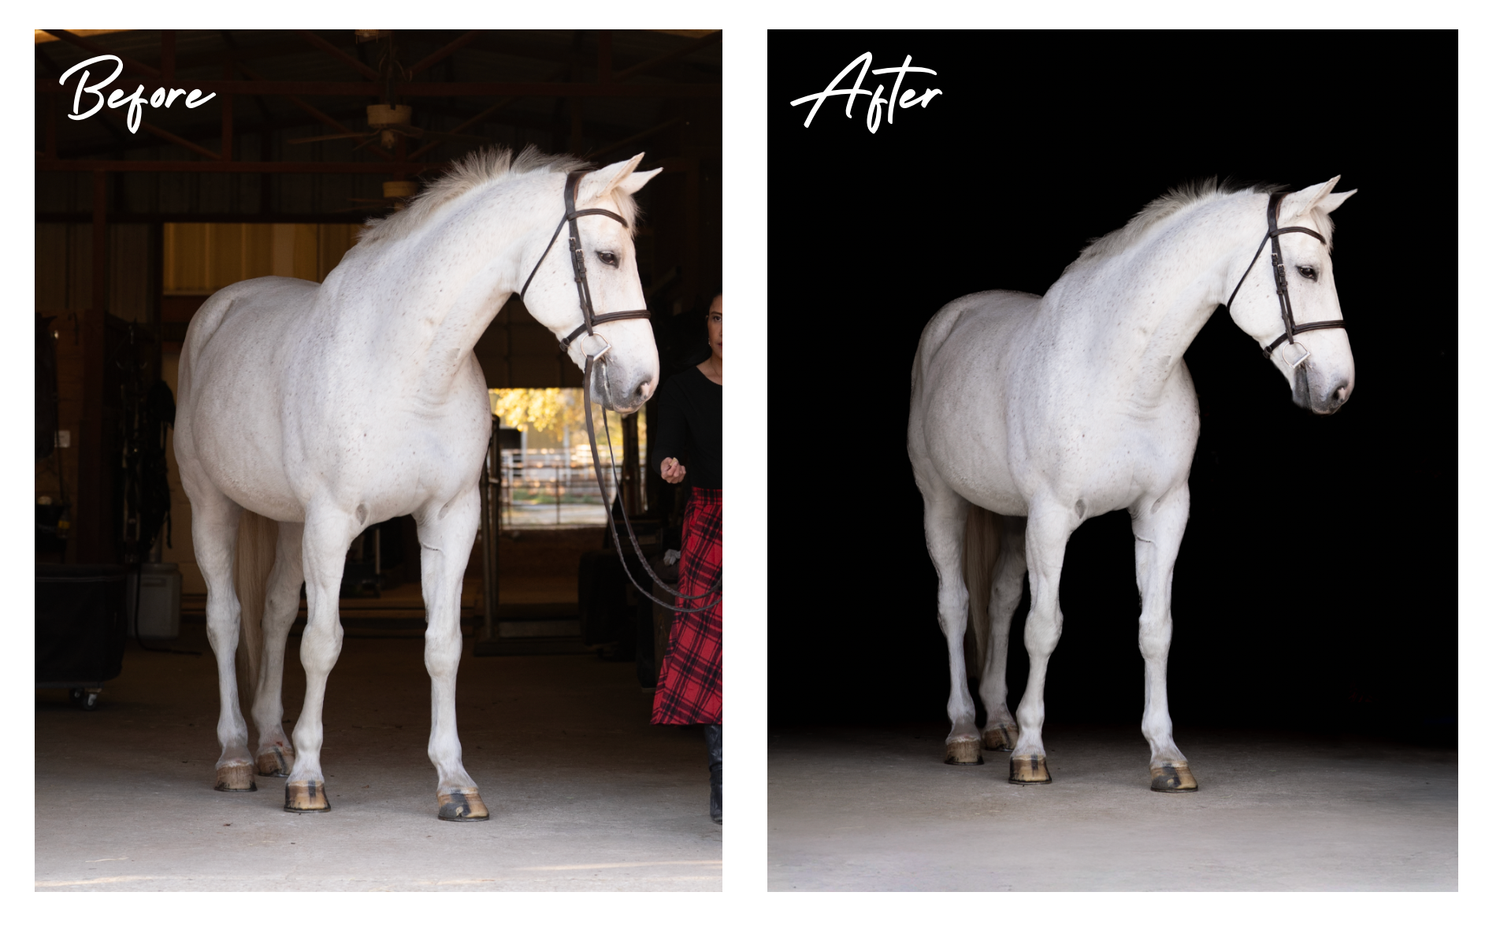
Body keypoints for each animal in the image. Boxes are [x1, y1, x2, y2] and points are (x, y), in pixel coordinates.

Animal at [174, 147, 661, 821]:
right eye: (609, 256)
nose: (642, 383)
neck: (408, 365)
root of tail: (220, 308)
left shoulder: (450, 519)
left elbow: (442, 646)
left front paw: (455, 782)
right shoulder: (332, 523)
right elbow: (322, 642)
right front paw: (308, 778)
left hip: (290, 523)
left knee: (272, 615)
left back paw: (270, 742)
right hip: (213, 506)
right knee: (225, 619)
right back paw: (237, 757)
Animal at [907, 177, 1356, 791]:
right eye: (1308, 271)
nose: (1338, 388)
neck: (1122, 373)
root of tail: (953, 319)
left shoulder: (1163, 512)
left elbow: (1155, 629)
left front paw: (1166, 755)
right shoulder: (1052, 517)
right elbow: (1044, 627)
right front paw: (1031, 752)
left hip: (1011, 517)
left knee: (998, 603)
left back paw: (996, 720)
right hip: (942, 502)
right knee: (955, 605)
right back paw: (965, 733)